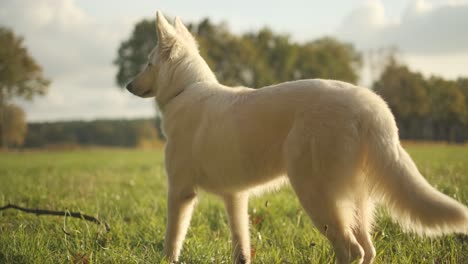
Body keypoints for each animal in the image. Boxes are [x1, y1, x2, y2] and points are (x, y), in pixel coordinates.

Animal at [125, 10, 468, 264]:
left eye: (148, 63)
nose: (128, 85)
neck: (186, 90)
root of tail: (371, 107)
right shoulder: (235, 197)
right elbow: (241, 247)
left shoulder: (180, 192)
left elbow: (171, 243)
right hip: (354, 199)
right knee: (367, 250)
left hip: (315, 193)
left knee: (351, 251)